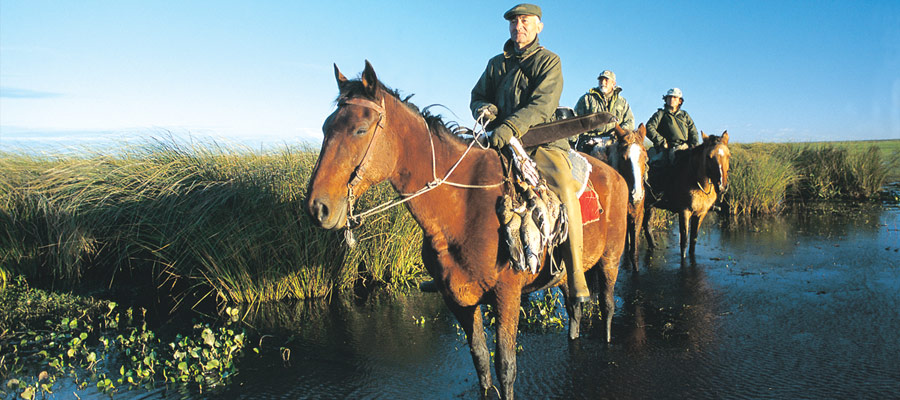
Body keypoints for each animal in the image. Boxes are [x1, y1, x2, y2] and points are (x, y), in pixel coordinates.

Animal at [306, 61, 628, 398]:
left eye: (360, 129)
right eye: (326, 127)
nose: (318, 207)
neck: (463, 209)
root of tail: (615, 175)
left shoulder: (507, 295)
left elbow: (506, 366)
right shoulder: (459, 300)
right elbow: (480, 362)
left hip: (610, 259)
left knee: (606, 306)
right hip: (564, 274)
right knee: (574, 311)